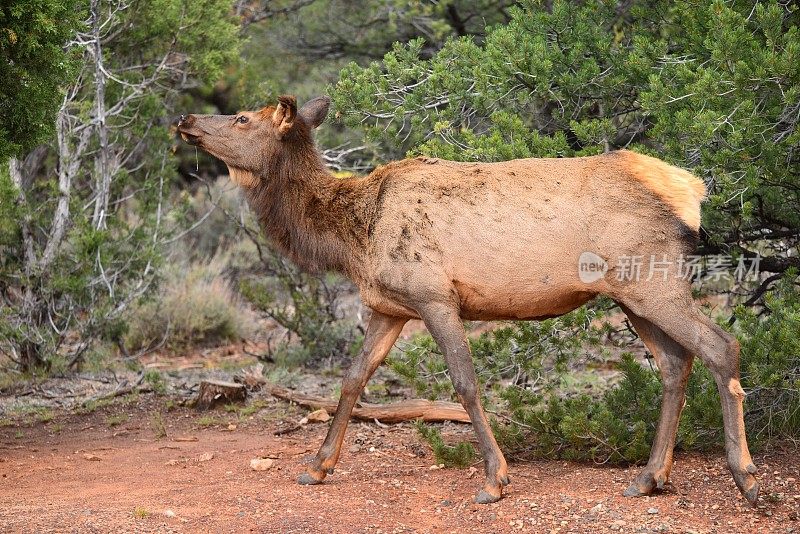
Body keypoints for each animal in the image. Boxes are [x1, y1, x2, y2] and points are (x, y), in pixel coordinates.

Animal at [178, 95, 760, 506]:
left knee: (721, 345)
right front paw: (317, 467)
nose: (185, 118)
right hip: (631, 295)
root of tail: (690, 190)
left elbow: (464, 383)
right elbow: (351, 380)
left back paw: (747, 477)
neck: (351, 239)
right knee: (676, 362)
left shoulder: (434, 294)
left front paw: (495, 479)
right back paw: (650, 477)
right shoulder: (388, 307)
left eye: (242, 119)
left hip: (651, 279)